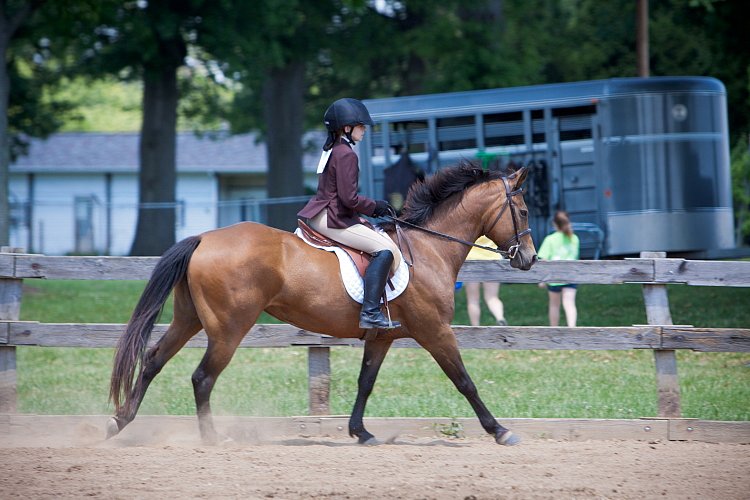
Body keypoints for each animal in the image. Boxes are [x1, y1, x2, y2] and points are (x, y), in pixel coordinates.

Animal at [107, 161, 540, 446]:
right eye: (521, 210)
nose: (530, 258)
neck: (429, 248)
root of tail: (203, 238)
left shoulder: (382, 337)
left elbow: (366, 382)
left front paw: (360, 432)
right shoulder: (435, 331)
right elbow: (464, 381)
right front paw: (500, 431)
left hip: (189, 318)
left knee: (153, 360)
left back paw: (119, 422)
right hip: (228, 328)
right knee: (202, 377)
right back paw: (212, 438)